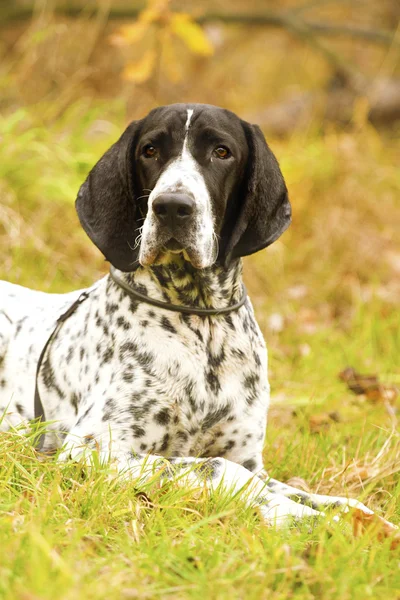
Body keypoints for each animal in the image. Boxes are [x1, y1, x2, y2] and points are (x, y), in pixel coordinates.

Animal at [0, 104, 396, 528]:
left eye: (222, 152)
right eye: (150, 150)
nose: (172, 206)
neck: (202, 324)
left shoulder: (251, 460)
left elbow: (320, 496)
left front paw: (361, 520)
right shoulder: (90, 449)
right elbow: (219, 468)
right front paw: (295, 518)